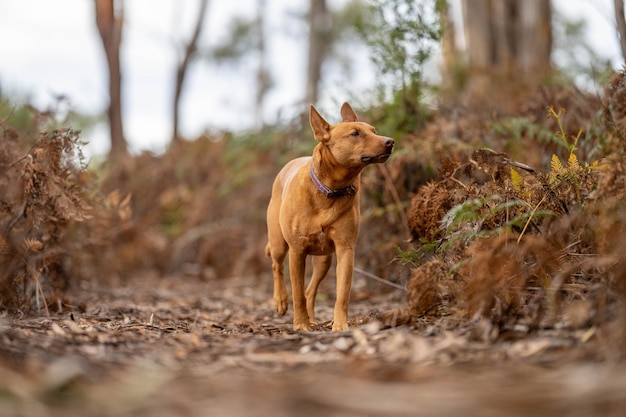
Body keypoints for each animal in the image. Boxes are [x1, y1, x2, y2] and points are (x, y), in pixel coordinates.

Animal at [264, 102, 392, 330]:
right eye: (355, 133)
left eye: (374, 131)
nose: (390, 142)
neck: (330, 190)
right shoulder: (297, 251)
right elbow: (297, 293)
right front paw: (300, 325)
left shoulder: (345, 249)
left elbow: (342, 293)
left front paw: (340, 325)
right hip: (278, 242)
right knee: (277, 266)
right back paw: (281, 301)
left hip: (324, 259)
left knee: (310, 290)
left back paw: (313, 319)